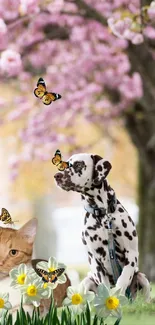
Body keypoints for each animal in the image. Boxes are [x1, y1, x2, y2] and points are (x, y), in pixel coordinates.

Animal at [54, 153, 150, 300]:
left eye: (78, 164)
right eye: (65, 165)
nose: (56, 176)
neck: (102, 214)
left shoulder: (131, 254)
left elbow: (123, 279)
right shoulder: (94, 260)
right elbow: (104, 284)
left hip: (142, 278)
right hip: (87, 282)